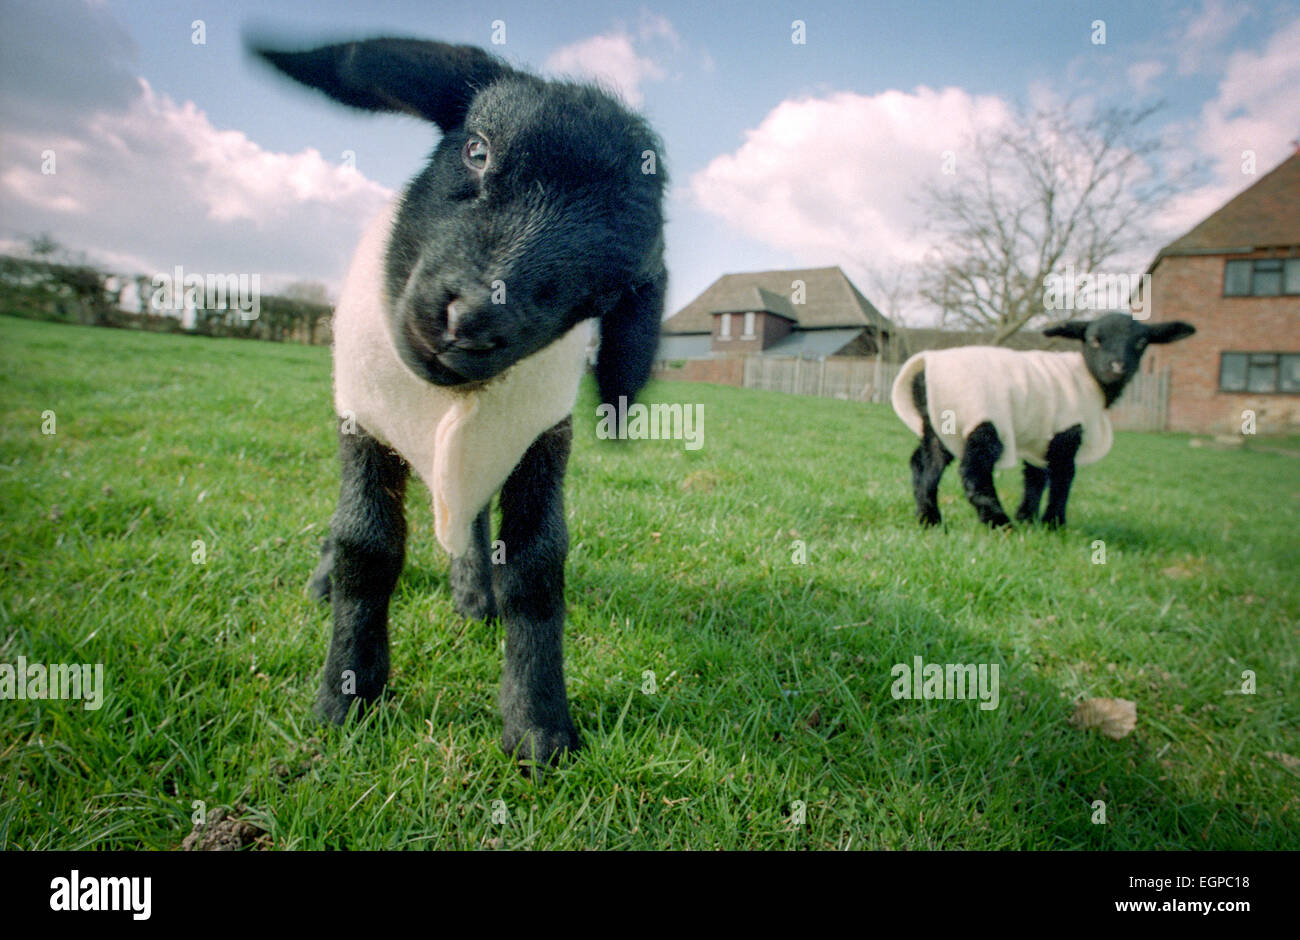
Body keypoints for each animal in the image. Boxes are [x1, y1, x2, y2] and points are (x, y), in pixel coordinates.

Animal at [246, 33, 665, 769]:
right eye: (477, 149)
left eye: (605, 292)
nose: (470, 319)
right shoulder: (363, 423)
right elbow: (365, 544)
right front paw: (346, 696)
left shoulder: (541, 439)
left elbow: (535, 564)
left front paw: (538, 726)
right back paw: (326, 582)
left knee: (468, 515)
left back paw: (472, 591)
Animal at [894, 314, 1196, 530]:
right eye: (1094, 339)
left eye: (1141, 343)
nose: (1117, 367)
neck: (1089, 378)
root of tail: (922, 372)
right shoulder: (1067, 434)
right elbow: (1063, 477)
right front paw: (1054, 523)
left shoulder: (1038, 440)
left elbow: (1036, 478)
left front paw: (1028, 517)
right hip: (982, 421)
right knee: (974, 471)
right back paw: (999, 522)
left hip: (940, 424)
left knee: (924, 464)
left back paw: (930, 519)